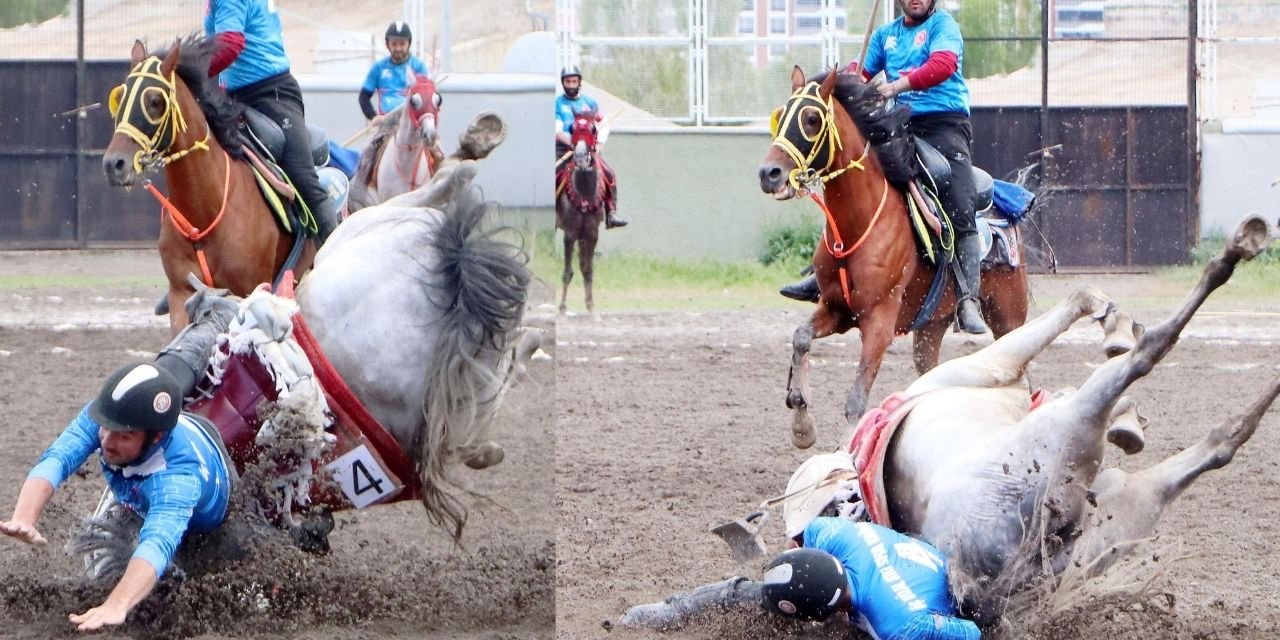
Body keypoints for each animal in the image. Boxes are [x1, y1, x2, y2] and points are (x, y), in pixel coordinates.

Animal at [102, 38, 317, 335]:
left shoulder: (250, 290)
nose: (114, 163)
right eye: (120, 98)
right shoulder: (181, 293)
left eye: (155, 101)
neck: (204, 214)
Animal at [552, 113, 606, 320]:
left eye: (593, 129)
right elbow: (568, 272)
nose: (581, 156)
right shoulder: (570, 233)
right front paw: (561, 310)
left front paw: (592, 309)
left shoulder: (591, 234)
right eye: (572, 129)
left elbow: (587, 269)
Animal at [757, 63, 1029, 445]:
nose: (769, 173)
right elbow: (800, 339)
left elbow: (856, 399)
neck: (860, 222)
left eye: (811, 119)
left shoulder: (878, 323)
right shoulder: (835, 310)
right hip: (931, 328)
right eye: (781, 117)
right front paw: (802, 424)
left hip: (1008, 317)